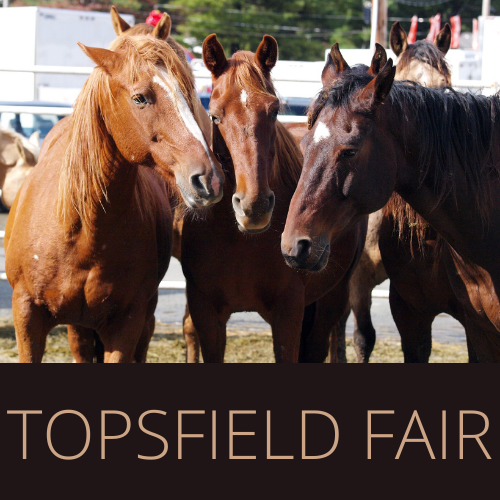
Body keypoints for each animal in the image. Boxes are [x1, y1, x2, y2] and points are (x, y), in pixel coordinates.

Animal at [5, 35, 223, 364]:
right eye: (140, 98)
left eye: (188, 96)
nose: (208, 178)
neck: (80, 230)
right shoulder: (27, 315)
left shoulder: (125, 324)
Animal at [178, 35, 366, 364]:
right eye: (214, 115)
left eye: (275, 110)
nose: (254, 207)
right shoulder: (206, 313)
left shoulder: (288, 312)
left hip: (333, 298)